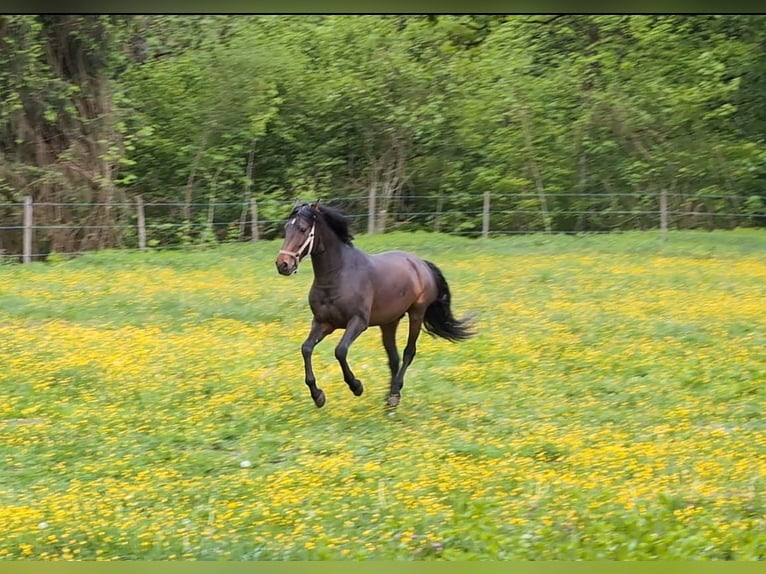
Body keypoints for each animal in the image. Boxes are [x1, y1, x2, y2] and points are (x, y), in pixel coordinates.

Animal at [275, 200, 474, 408]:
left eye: (303, 229)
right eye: (286, 228)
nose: (283, 265)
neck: (338, 276)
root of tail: (421, 263)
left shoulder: (358, 322)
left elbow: (340, 351)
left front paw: (356, 386)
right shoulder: (323, 323)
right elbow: (306, 349)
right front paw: (318, 396)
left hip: (417, 314)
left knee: (408, 352)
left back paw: (394, 394)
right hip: (389, 322)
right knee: (393, 358)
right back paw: (389, 402)